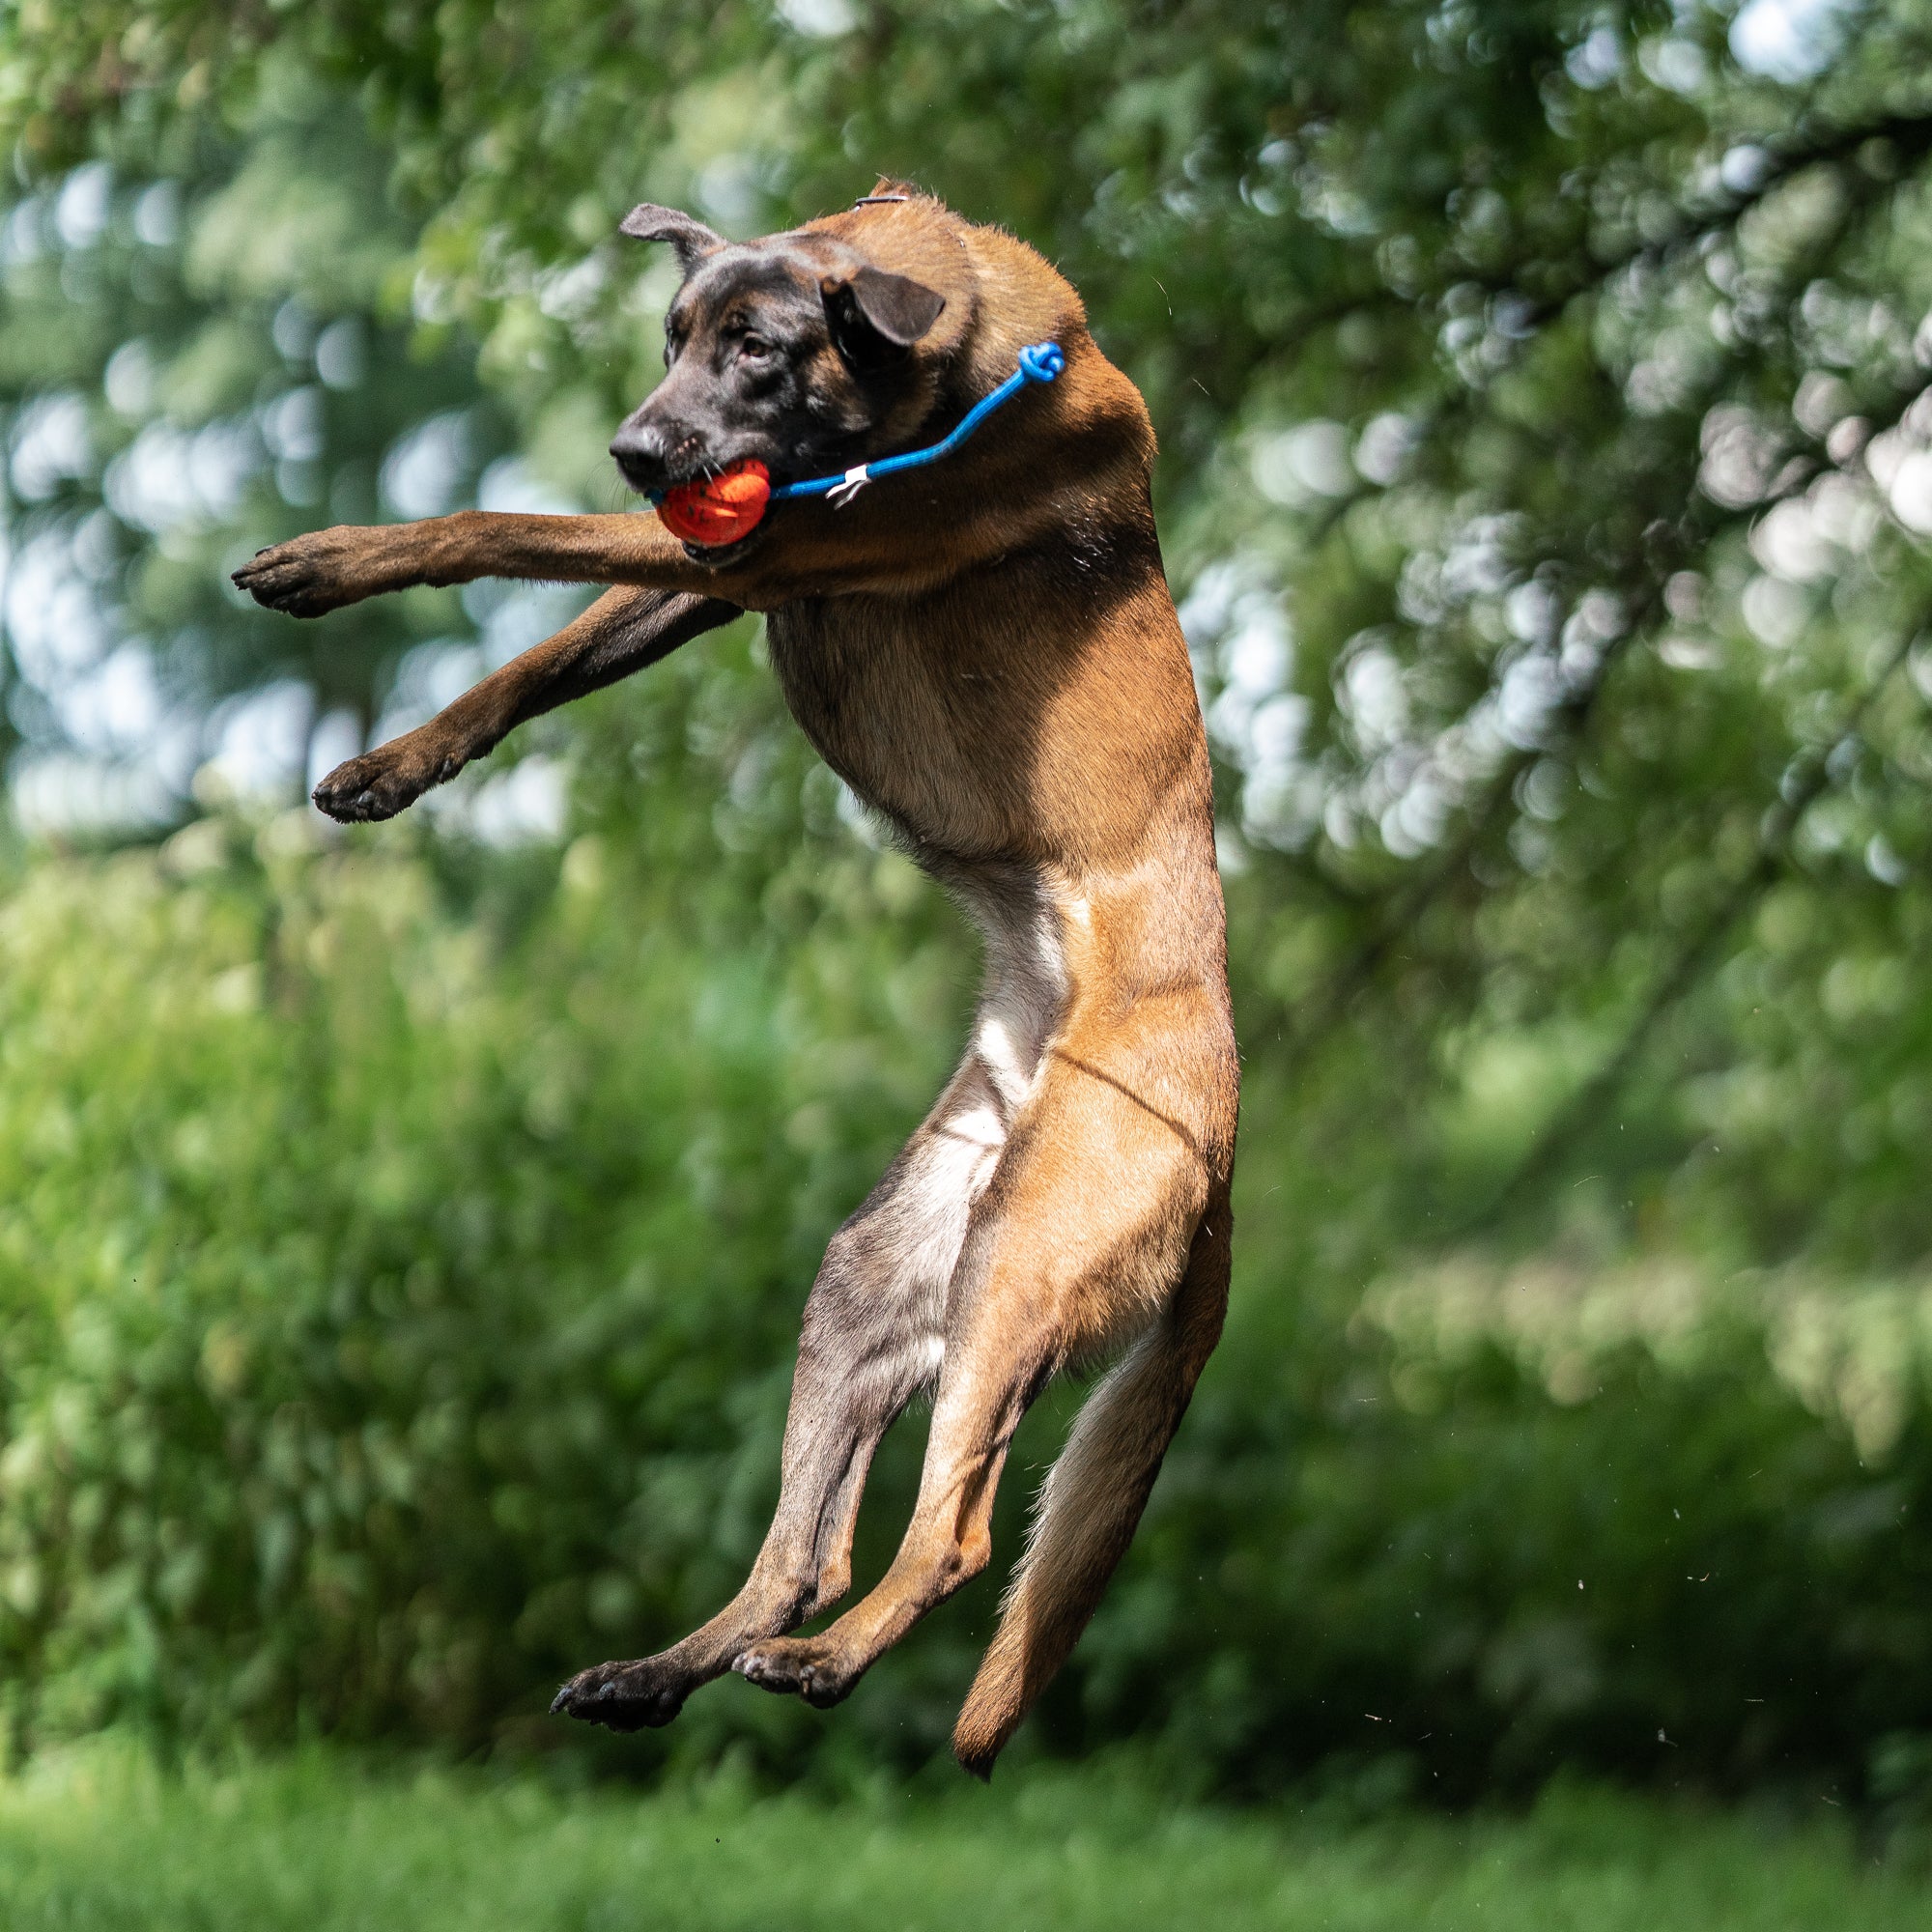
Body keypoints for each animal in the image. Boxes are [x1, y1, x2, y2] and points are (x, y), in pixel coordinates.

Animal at [234, 182, 1236, 1777]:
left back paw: (820, 1670)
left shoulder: (760, 550)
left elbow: (498, 525)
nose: (640, 452)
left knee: (953, 1540)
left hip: (1017, 1265)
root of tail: (1229, 1147)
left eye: (759, 349)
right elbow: (530, 666)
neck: (949, 353)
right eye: (673, 336)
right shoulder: (716, 568)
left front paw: (329, 563)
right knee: (805, 1555)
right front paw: (395, 765)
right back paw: (661, 1674)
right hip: (881, 1275)